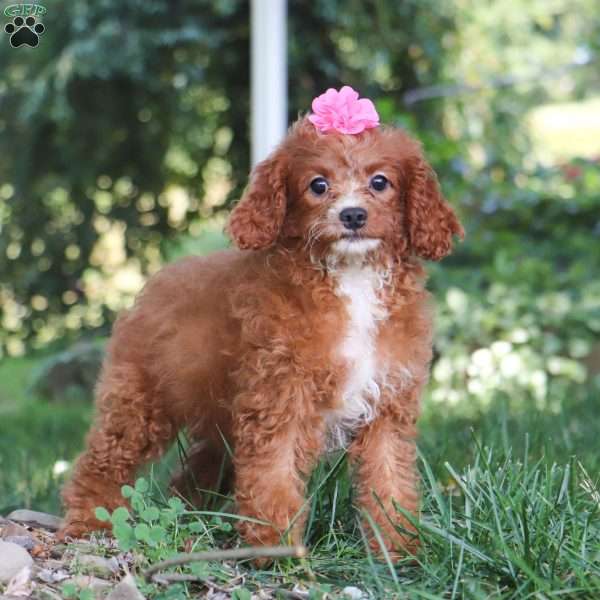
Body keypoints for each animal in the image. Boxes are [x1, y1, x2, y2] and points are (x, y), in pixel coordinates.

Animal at [59, 86, 464, 556]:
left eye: (380, 182)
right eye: (318, 185)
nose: (352, 215)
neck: (351, 278)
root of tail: (157, 282)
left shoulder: (387, 405)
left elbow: (389, 479)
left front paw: (397, 549)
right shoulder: (281, 398)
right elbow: (274, 475)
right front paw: (277, 547)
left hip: (219, 420)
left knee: (193, 472)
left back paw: (193, 521)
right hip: (139, 400)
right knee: (103, 461)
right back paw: (88, 521)